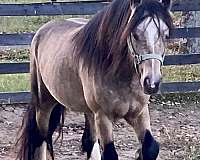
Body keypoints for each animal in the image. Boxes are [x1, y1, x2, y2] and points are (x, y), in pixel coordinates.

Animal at [15, 0, 173, 159]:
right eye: (134, 34)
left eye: (165, 35)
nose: (151, 83)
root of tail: (42, 31)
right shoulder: (103, 117)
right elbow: (110, 154)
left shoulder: (139, 113)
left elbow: (151, 147)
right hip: (44, 104)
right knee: (41, 138)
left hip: (88, 111)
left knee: (89, 141)